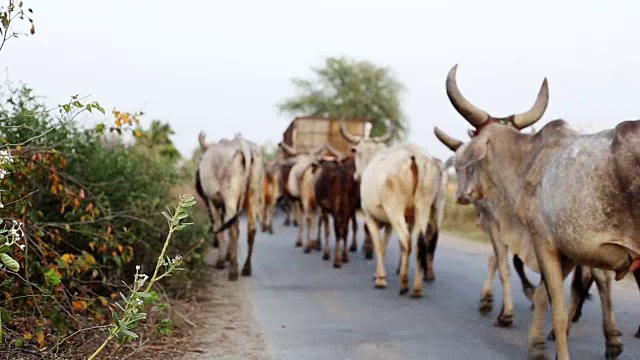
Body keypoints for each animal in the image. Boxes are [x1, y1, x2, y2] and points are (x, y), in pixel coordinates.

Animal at [196, 132, 264, 282]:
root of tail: (242, 144)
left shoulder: (212, 202)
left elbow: (219, 227)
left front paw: (221, 261)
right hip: (253, 194)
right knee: (251, 229)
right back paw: (246, 268)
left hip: (230, 196)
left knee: (233, 230)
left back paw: (233, 270)